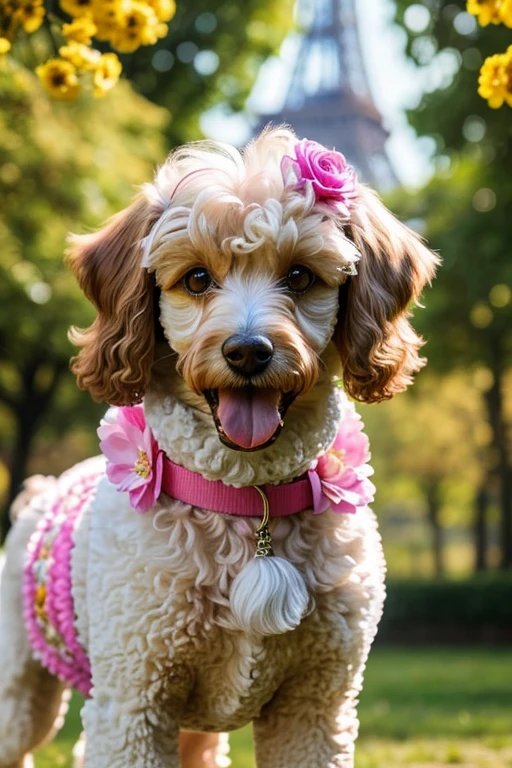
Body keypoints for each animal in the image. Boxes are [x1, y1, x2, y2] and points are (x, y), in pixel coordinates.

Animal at [0, 129, 438, 764]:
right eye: (196, 279)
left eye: (301, 276)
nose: (248, 350)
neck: (246, 498)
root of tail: (39, 490)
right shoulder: (133, 704)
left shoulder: (316, 708)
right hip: (24, 695)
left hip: (194, 733)